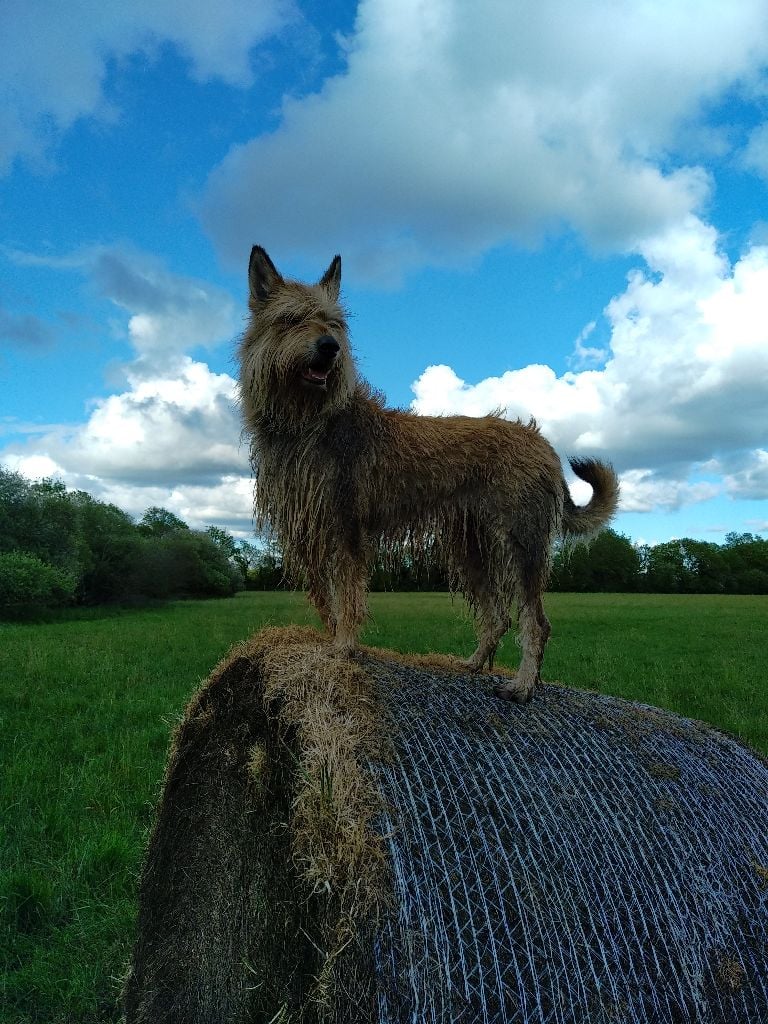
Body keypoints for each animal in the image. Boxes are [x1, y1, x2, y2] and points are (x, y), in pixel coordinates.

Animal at [237, 245, 622, 704]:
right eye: (292, 319)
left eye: (334, 324)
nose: (330, 348)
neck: (307, 420)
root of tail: (544, 444)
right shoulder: (308, 533)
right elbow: (326, 601)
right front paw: (332, 644)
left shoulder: (346, 528)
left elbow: (348, 599)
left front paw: (344, 648)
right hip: (470, 548)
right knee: (497, 616)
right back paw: (473, 664)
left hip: (520, 544)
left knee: (535, 623)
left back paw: (523, 685)